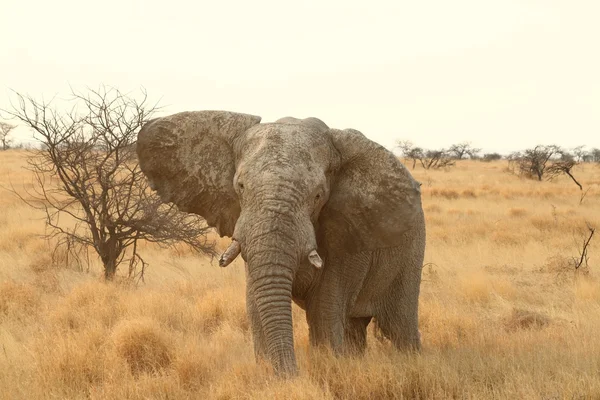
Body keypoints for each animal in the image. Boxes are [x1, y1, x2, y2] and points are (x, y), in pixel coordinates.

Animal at [136, 111, 426, 376]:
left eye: (318, 195)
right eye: (240, 186)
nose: (292, 374)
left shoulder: (345, 235)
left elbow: (324, 309)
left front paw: (325, 366)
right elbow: (255, 304)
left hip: (412, 251)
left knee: (399, 324)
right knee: (356, 327)